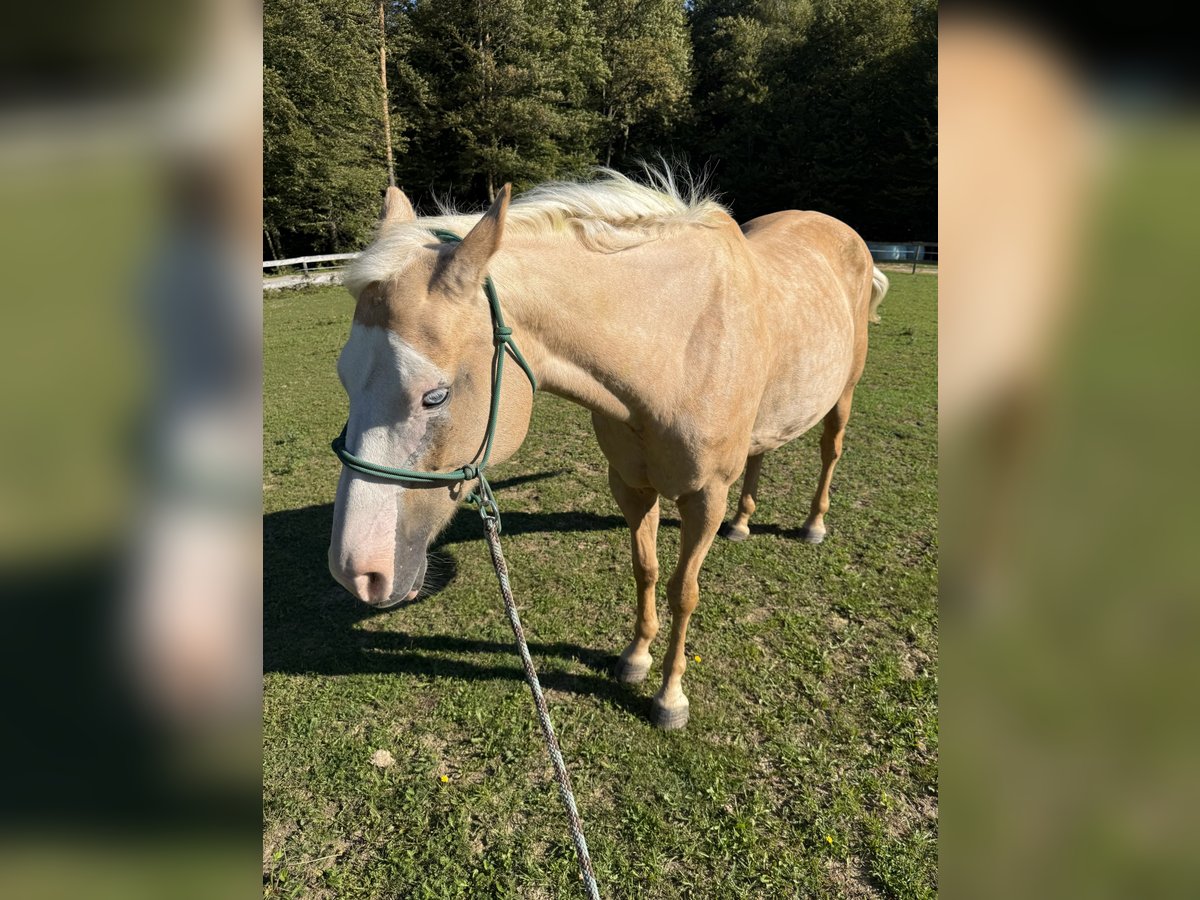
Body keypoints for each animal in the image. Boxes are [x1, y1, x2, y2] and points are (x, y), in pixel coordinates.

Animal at [328, 169, 888, 729]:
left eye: (435, 396)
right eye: (345, 380)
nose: (357, 573)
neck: (677, 346)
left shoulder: (704, 497)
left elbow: (683, 592)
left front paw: (670, 696)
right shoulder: (632, 486)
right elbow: (646, 570)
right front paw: (636, 659)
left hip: (844, 395)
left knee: (830, 452)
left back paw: (814, 524)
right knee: (760, 453)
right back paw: (743, 523)